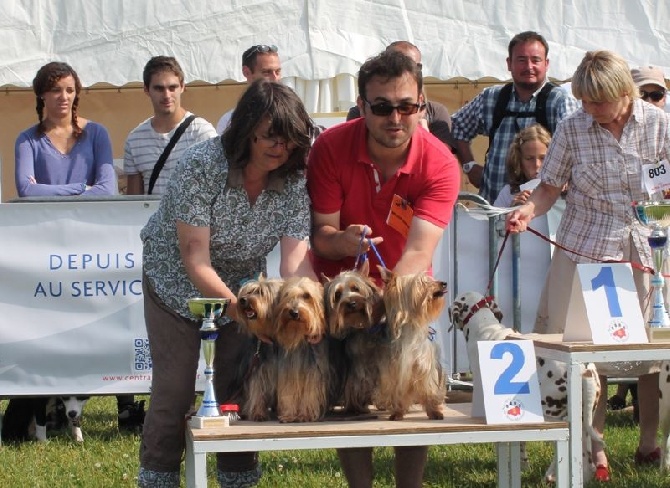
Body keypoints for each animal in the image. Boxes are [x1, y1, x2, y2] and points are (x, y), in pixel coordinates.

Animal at [236, 276, 284, 422]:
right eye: (248, 291)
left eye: (261, 293)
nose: (242, 300)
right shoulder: (258, 371)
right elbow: (257, 391)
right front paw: (258, 414)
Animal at [272, 278, 330, 424]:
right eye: (287, 295)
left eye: (307, 296)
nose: (294, 312)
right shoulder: (290, 371)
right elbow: (289, 391)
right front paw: (289, 415)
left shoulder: (313, 371)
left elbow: (310, 392)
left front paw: (305, 415)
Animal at [324, 262, 384, 414]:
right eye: (337, 295)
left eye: (355, 288)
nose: (351, 303)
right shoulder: (356, 364)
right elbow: (355, 384)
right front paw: (355, 406)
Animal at [376, 266, 448, 420]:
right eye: (422, 283)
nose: (444, 283)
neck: (412, 326)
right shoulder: (396, 369)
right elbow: (397, 391)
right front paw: (397, 412)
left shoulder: (424, 366)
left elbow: (429, 388)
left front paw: (434, 412)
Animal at [452, 292, 604, 482]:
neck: (484, 327)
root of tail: (586, 368)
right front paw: (523, 464)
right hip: (584, 422)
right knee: (586, 460)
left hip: (550, 413)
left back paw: (550, 475)